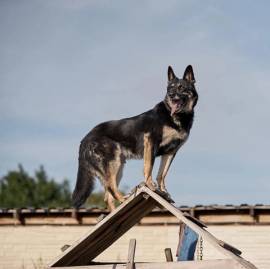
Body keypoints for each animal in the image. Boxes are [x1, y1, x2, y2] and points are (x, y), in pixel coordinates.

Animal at [72, 65, 198, 209]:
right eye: (169, 88)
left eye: (181, 87)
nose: (171, 96)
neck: (177, 117)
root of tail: (85, 139)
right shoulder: (151, 143)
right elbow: (148, 167)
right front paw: (150, 186)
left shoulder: (171, 152)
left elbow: (162, 174)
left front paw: (164, 192)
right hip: (113, 163)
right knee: (111, 187)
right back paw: (124, 198)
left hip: (119, 166)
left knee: (107, 197)